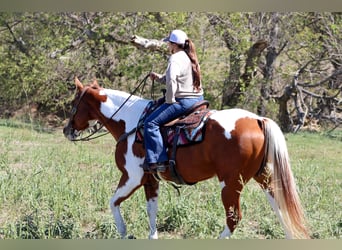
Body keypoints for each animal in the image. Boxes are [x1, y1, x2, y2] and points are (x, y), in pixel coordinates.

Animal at [62, 77, 310, 239]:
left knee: (233, 219)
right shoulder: (150, 180)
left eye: (74, 104)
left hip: (230, 184)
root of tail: (258, 120)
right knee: (282, 210)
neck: (131, 122)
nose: (67, 130)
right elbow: (151, 210)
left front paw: (124, 233)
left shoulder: (132, 177)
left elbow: (113, 202)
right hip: (265, 178)